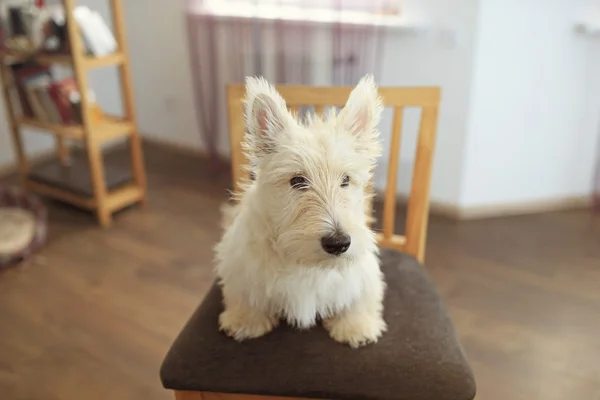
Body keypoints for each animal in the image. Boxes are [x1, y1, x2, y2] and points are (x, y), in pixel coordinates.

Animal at [213, 74, 386, 346]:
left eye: (346, 180)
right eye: (297, 181)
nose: (338, 243)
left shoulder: (362, 271)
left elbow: (360, 296)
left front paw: (356, 326)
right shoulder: (240, 265)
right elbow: (244, 293)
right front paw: (245, 320)